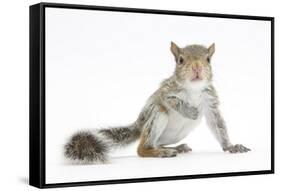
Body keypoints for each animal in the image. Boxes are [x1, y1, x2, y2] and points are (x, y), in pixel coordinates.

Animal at [63, 41, 249, 163]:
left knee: (156, 143)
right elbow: (172, 101)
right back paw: (160, 153)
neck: (194, 89)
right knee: (142, 149)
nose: (197, 67)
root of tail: (140, 125)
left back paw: (174, 148)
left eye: (208, 59)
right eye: (180, 60)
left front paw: (231, 146)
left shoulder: (210, 101)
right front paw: (190, 111)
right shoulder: (166, 91)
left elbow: (218, 125)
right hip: (157, 116)